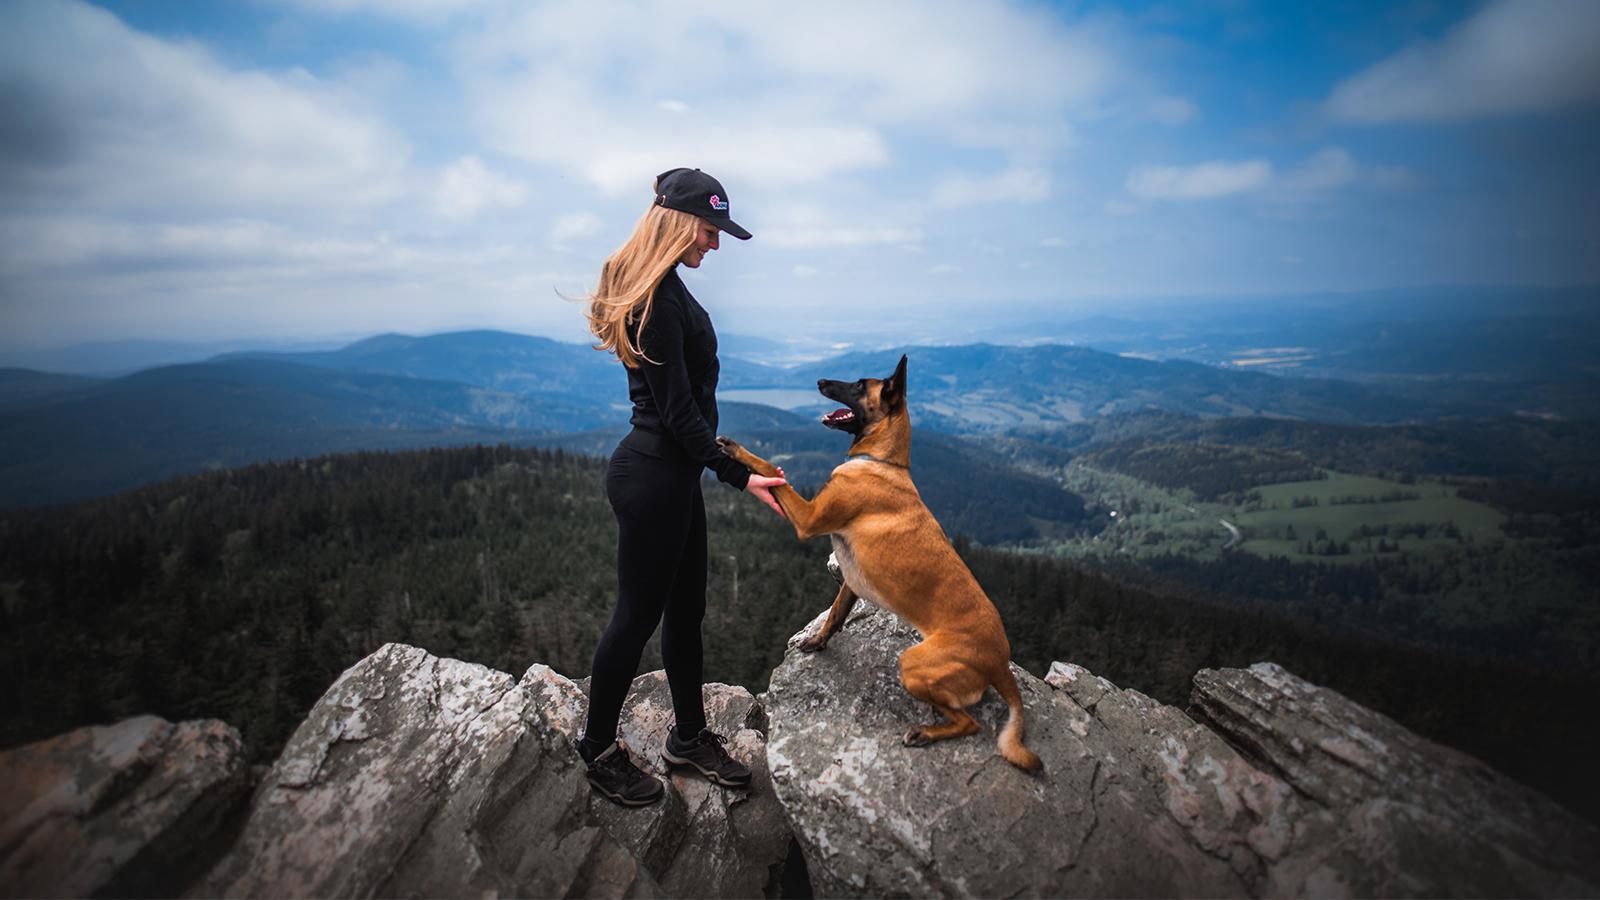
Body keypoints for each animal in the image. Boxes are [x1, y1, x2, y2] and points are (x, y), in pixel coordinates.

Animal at [720, 353, 1043, 768]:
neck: (881, 460)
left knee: (970, 723)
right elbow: (835, 614)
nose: (821, 380)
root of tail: (1000, 663)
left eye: (859, 386)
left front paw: (737, 449)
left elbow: (770, 470)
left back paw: (925, 733)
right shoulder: (850, 580)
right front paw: (817, 641)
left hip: (913, 665)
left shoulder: (808, 518)